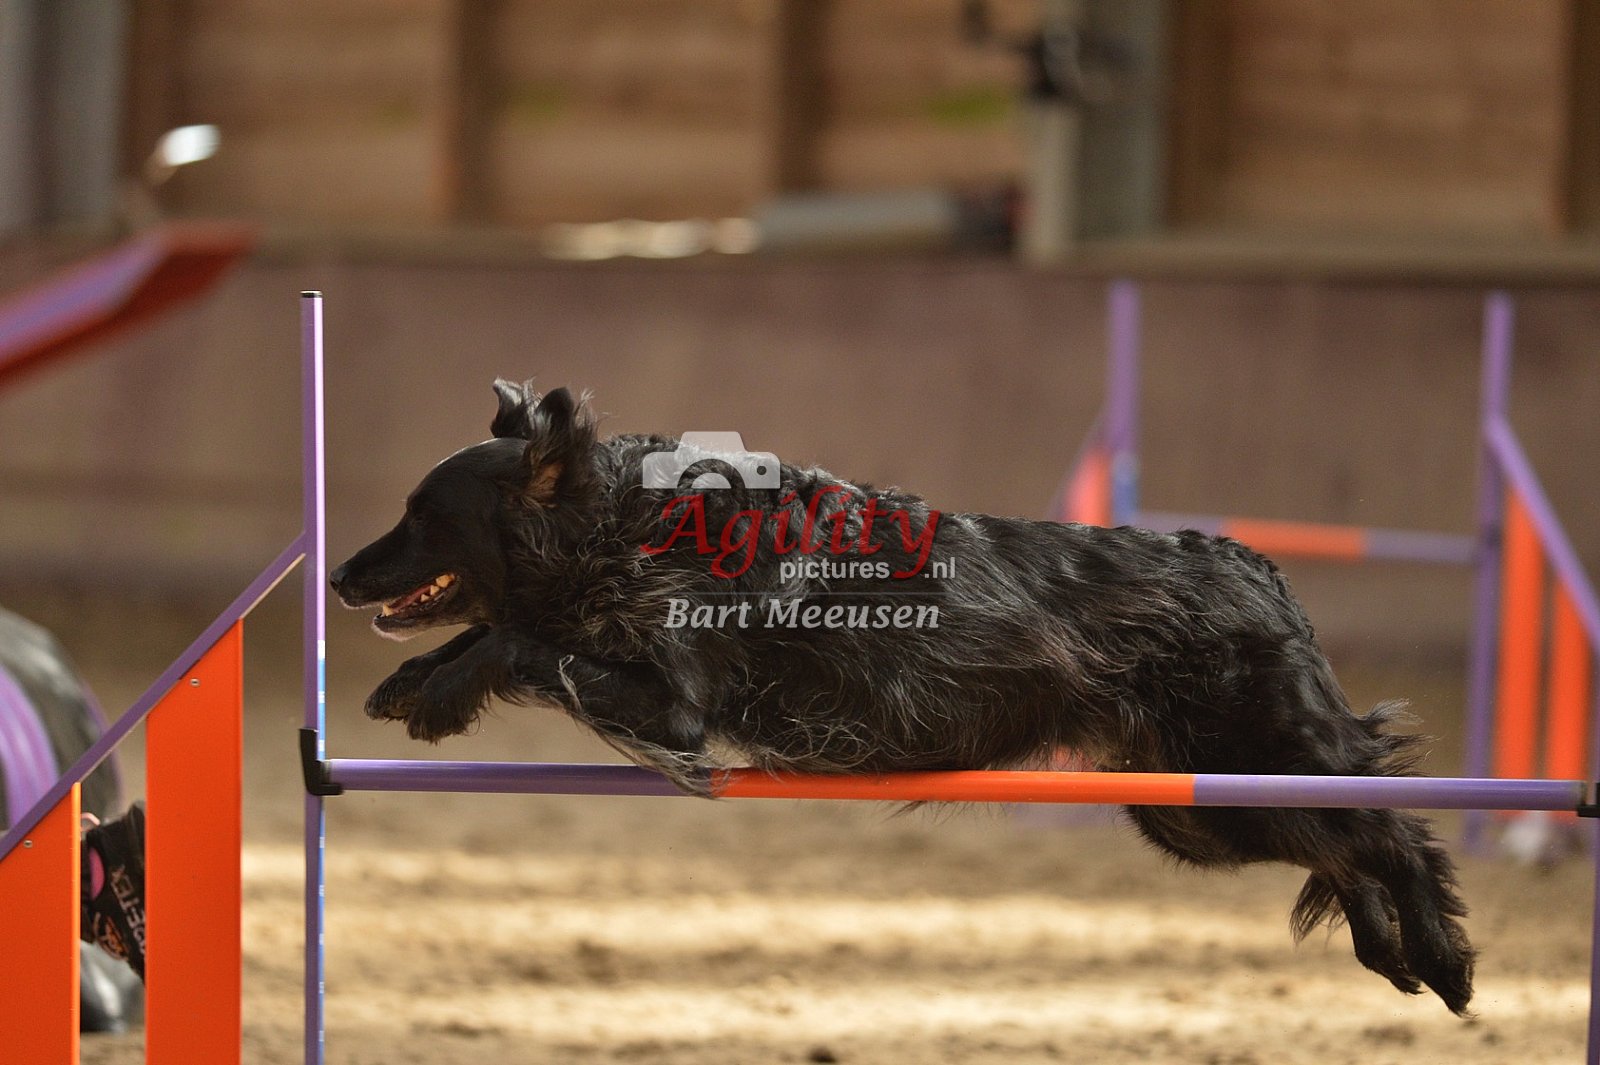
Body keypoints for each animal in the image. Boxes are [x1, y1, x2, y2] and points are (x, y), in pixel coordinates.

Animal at [330, 380, 1475, 1014]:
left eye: (421, 515)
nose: (340, 576)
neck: (631, 527)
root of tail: (1254, 565)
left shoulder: (675, 708)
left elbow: (526, 641)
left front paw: (439, 692)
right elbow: (518, 631)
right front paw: (410, 680)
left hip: (1258, 766)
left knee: (1396, 832)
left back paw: (1446, 958)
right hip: (1196, 809)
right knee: (1351, 847)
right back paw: (1394, 954)